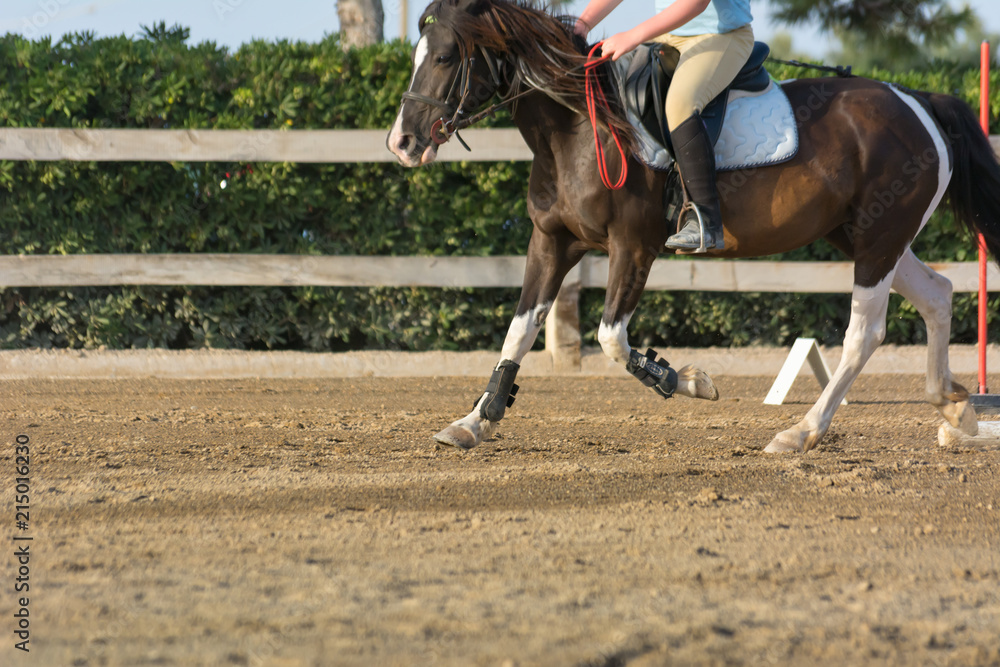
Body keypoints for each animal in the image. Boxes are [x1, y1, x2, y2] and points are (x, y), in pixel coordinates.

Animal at [386, 0, 1000, 453]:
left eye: (445, 57)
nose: (402, 143)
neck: (578, 128)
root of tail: (915, 99)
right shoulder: (552, 242)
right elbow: (520, 329)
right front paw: (475, 420)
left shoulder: (633, 247)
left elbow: (610, 338)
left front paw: (682, 380)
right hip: (860, 233)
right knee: (937, 293)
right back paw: (955, 410)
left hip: (878, 238)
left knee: (863, 333)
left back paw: (801, 432)